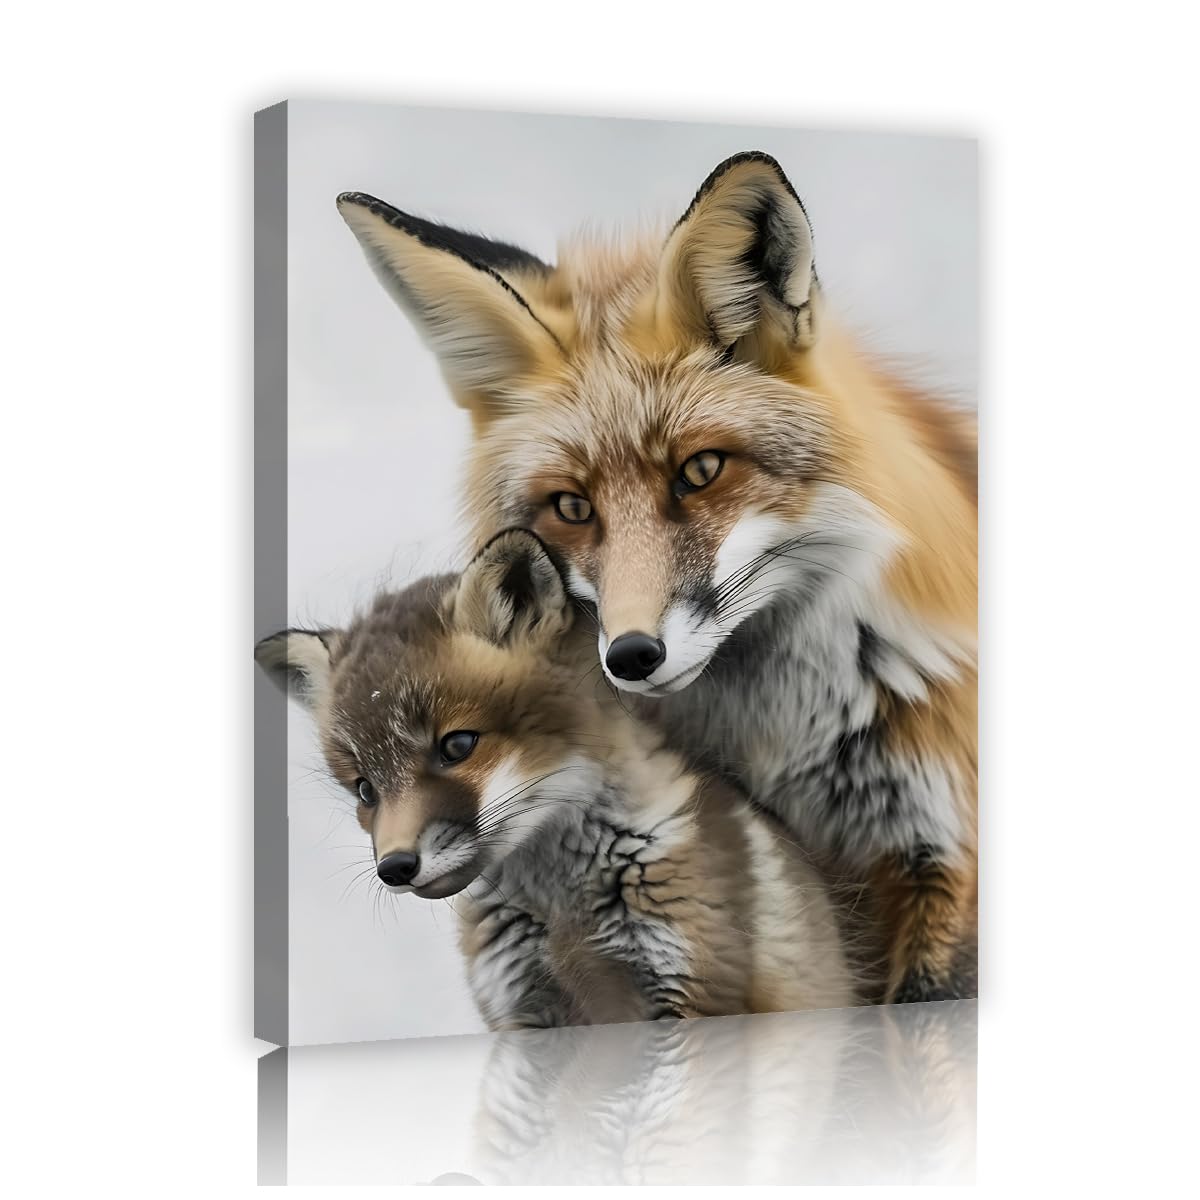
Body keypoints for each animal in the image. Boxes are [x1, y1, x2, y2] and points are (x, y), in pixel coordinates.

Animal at [256, 529, 857, 1030]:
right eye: (365, 790)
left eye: (457, 746)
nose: (396, 867)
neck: (564, 913)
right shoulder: (524, 1011)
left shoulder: (695, 988)